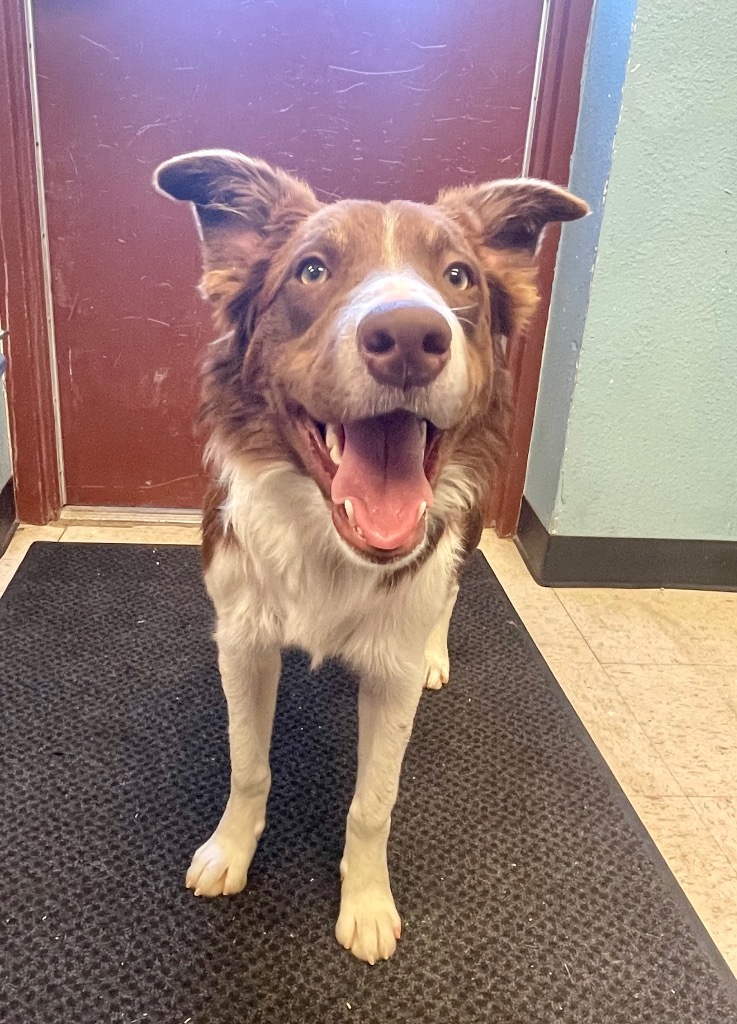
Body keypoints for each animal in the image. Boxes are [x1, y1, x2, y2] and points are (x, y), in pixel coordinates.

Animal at [155, 149, 585, 958]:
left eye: (458, 277)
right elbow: (248, 765)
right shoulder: (245, 639)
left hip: (467, 525)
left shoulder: (390, 672)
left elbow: (373, 802)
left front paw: (366, 903)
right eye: (311, 270)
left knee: (453, 588)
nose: (411, 336)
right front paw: (230, 851)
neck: (329, 540)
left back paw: (438, 653)